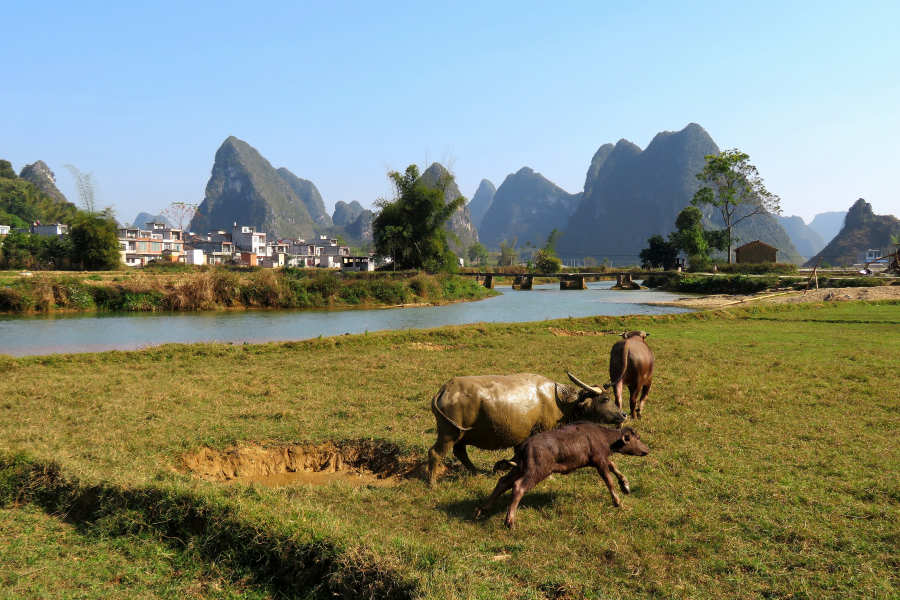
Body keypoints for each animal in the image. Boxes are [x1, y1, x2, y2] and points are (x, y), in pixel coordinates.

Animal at [428, 372, 624, 486]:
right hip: (449, 433)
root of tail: (445, 390)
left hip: (459, 434)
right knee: (435, 453)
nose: (624, 414)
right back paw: (432, 483)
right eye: (606, 399)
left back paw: (476, 472)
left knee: (460, 452)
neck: (558, 400)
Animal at [474, 422, 652, 528]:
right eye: (637, 438)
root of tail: (524, 445)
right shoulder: (598, 459)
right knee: (518, 487)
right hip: (537, 470)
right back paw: (509, 520)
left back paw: (483, 508)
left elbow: (613, 466)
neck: (603, 436)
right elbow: (608, 479)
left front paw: (625, 485)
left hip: (520, 468)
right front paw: (617, 501)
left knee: (503, 481)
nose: (647, 449)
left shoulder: (597, 459)